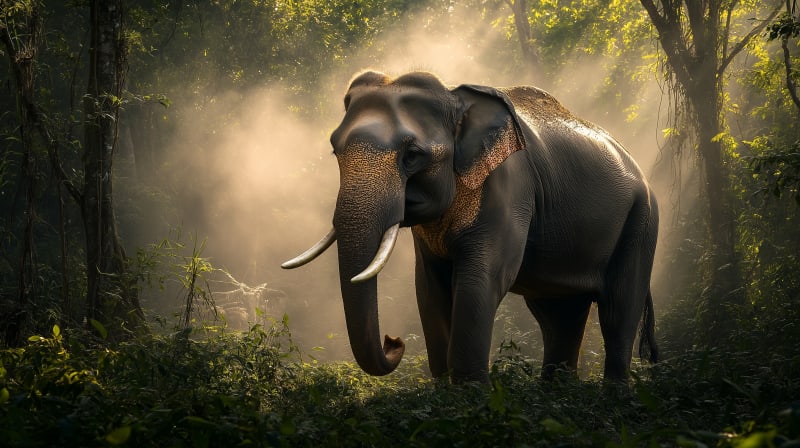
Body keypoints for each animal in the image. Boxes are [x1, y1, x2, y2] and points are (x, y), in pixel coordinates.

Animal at [283, 71, 658, 383]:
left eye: (412, 155)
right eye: (335, 150)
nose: (394, 341)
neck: (455, 96)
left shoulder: (510, 187)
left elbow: (483, 278)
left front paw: (471, 398)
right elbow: (428, 287)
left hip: (642, 222)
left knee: (617, 312)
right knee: (559, 317)